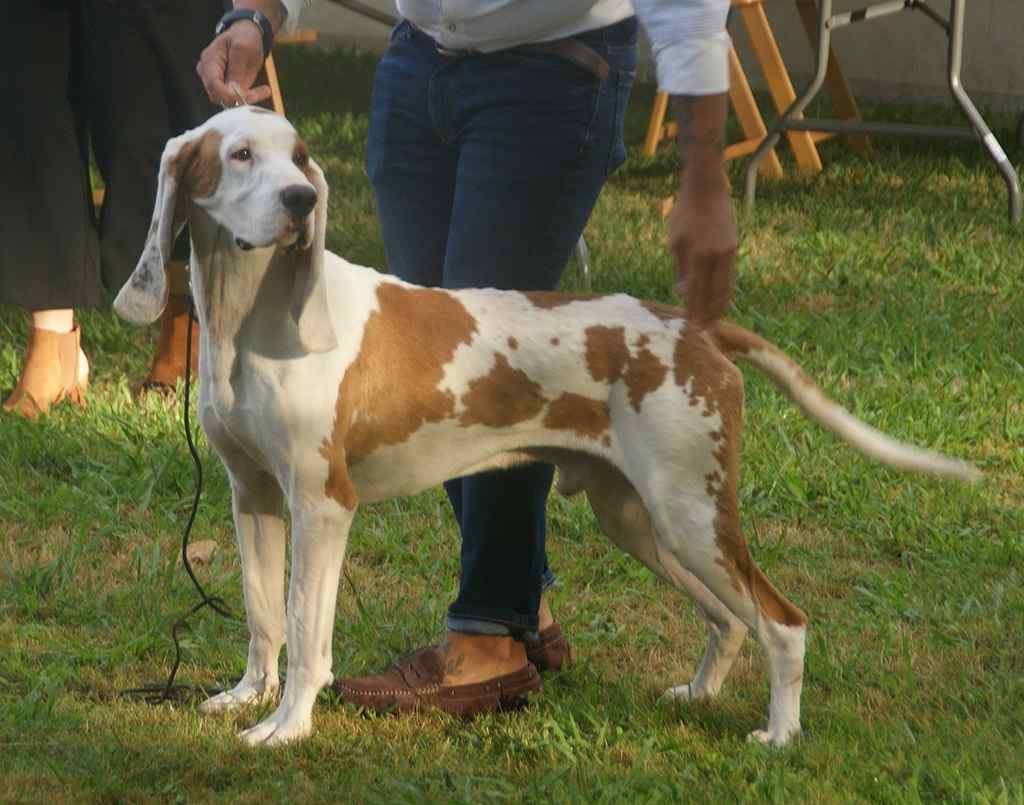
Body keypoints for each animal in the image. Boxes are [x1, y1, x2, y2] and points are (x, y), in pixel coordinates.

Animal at [114, 106, 983, 745]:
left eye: (298, 159)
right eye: (239, 155)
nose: (301, 201)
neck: (249, 314)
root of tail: (697, 326)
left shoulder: (323, 505)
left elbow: (305, 633)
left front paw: (287, 728)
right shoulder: (253, 495)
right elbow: (264, 619)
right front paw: (244, 697)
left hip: (692, 514)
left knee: (783, 622)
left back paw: (779, 735)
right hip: (639, 518)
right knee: (728, 617)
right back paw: (699, 694)